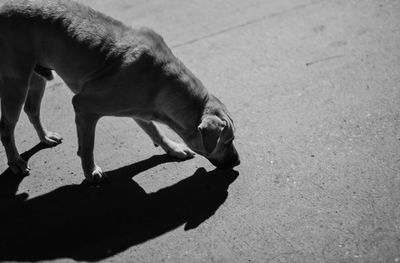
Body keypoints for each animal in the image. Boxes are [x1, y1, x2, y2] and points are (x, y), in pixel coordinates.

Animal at [0, 0, 239, 182]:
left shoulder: (139, 110)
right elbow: (87, 146)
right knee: (7, 128)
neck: (161, 81)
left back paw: (45, 137)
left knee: (32, 110)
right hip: (15, 84)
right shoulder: (84, 107)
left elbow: (155, 131)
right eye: (227, 141)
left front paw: (172, 148)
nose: (238, 161)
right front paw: (90, 171)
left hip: (37, 78)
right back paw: (15, 161)